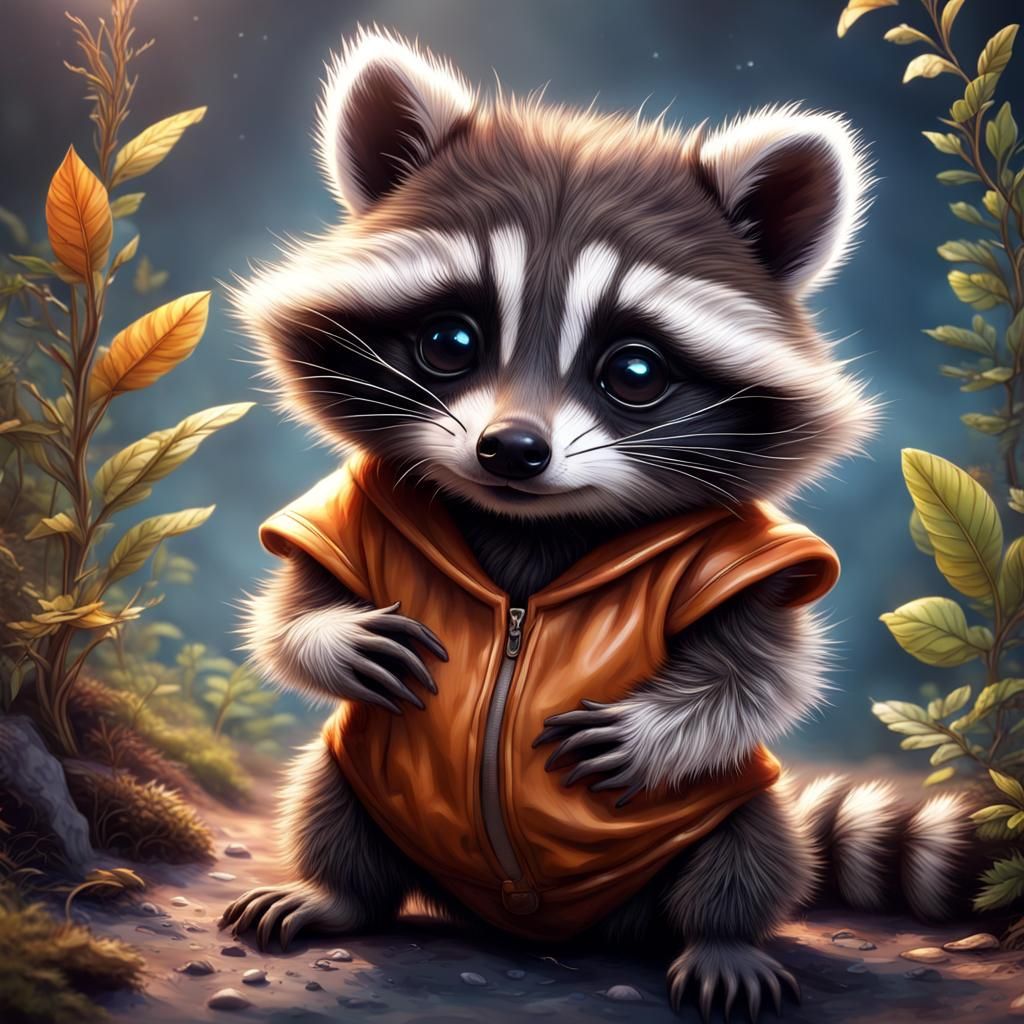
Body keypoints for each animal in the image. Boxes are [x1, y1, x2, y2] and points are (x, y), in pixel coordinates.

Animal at [222, 29, 972, 1020]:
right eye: (450, 342)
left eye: (635, 371)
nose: (511, 450)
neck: (534, 525)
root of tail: (530, 927)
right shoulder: (354, 506)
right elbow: (292, 608)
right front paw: (335, 634)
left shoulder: (740, 554)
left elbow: (759, 674)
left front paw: (658, 725)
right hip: (363, 771)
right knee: (327, 797)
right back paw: (336, 892)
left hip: (720, 814)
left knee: (748, 851)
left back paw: (721, 935)